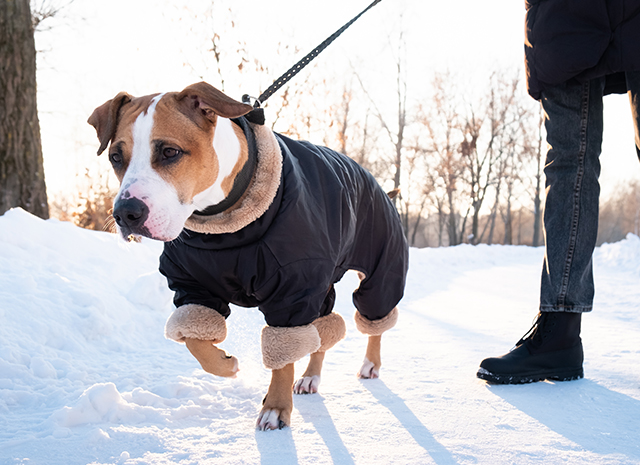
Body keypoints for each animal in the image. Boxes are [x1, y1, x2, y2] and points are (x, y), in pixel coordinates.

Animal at [87, 81, 408, 430]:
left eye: (170, 152)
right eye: (116, 157)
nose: (125, 213)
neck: (223, 226)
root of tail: (378, 185)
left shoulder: (292, 289)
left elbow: (283, 356)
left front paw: (276, 408)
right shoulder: (191, 285)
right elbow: (196, 339)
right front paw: (226, 364)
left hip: (381, 266)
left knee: (375, 314)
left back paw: (370, 363)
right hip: (321, 285)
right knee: (324, 329)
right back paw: (311, 376)